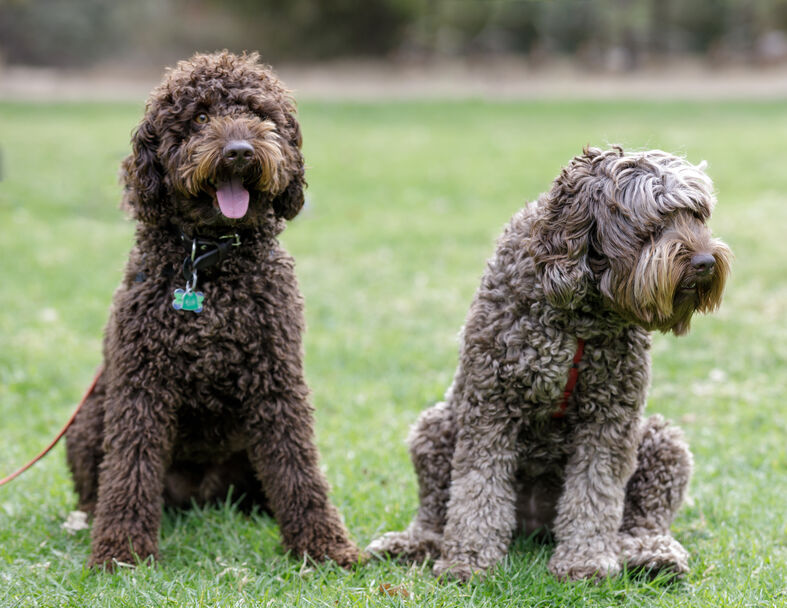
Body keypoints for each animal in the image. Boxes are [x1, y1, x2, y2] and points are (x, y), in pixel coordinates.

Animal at [65, 51, 360, 568]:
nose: (239, 151)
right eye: (200, 118)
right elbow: (130, 468)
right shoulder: (140, 387)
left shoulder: (277, 381)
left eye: (260, 115)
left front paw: (324, 545)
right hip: (87, 421)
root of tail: (200, 496)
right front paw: (122, 551)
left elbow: (298, 466)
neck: (208, 262)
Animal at [368, 145, 732, 580]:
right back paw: (414, 542)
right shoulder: (489, 405)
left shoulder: (611, 418)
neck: (581, 310)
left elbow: (595, 492)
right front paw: (468, 560)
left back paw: (650, 553)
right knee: (436, 509)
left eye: (698, 215)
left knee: (644, 516)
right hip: (435, 427)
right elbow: (476, 489)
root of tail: (534, 525)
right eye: (656, 222)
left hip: (662, 441)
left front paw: (585, 561)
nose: (705, 262)